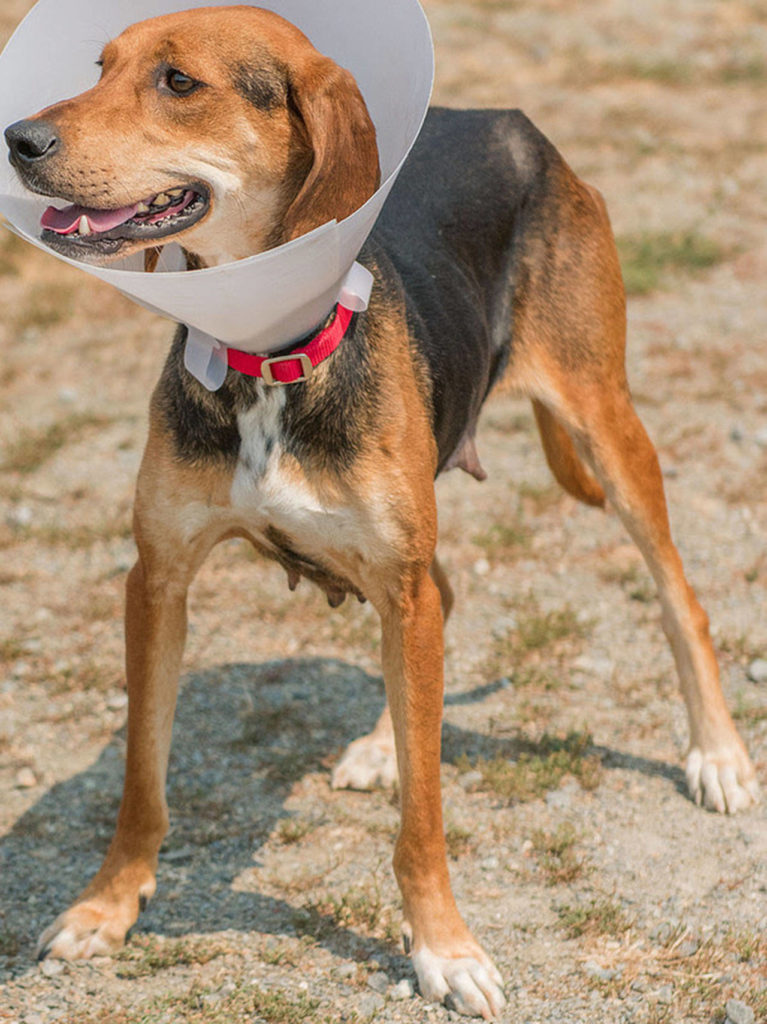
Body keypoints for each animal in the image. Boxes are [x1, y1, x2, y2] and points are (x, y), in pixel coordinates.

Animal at [4, 4, 761, 1019]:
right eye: (98, 67)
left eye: (178, 82)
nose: (19, 138)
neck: (269, 357)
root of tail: (504, 118)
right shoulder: (156, 580)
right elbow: (141, 783)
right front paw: (106, 907)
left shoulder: (395, 581)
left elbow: (425, 817)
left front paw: (443, 947)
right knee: (446, 602)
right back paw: (379, 746)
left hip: (603, 424)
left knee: (679, 598)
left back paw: (715, 754)